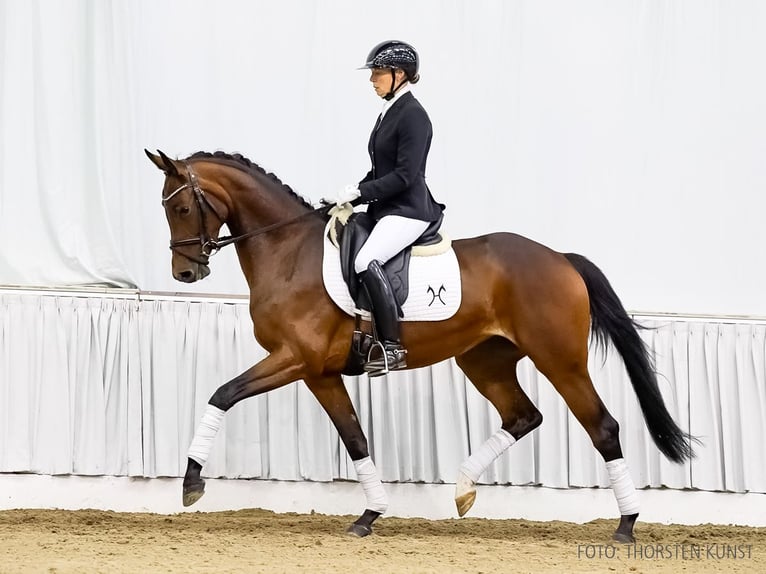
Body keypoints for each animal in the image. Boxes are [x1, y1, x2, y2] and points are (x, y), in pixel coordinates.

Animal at [144, 150, 696, 544]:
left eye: (182, 207)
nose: (186, 273)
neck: (288, 253)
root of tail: (560, 258)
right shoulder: (318, 372)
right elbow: (356, 439)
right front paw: (370, 515)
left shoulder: (294, 359)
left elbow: (222, 393)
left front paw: (191, 483)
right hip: (484, 360)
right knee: (523, 416)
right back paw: (463, 490)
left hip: (560, 361)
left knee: (602, 426)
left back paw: (626, 525)